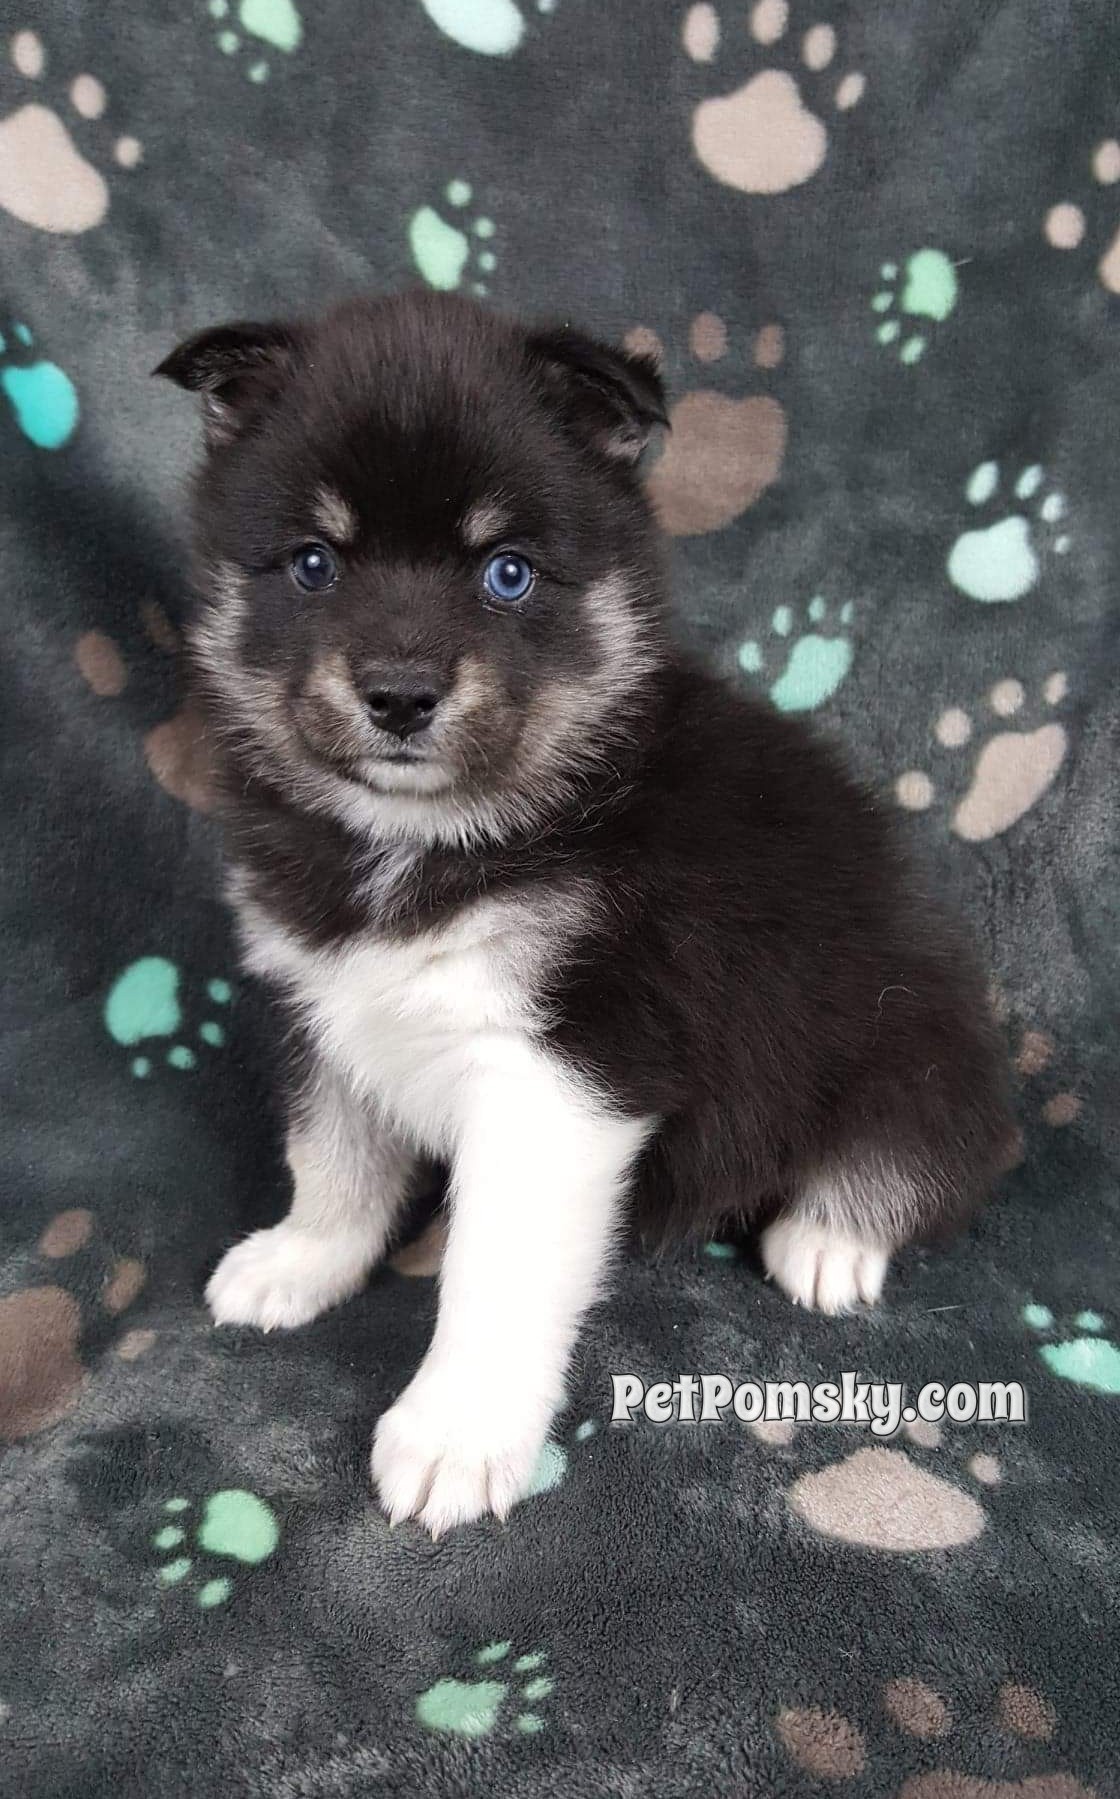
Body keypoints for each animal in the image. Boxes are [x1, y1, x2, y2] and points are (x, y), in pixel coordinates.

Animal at [157, 290, 1014, 1533]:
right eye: (313, 563)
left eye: (507, 572)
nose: (400, 694)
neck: (429, 841)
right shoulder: (326, 1003)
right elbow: (331, 1152)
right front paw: (300, 1259)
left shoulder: (566, 1066)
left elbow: (495, 1268)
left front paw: (454, 1434)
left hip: (910, 1022)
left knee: (926, 1148)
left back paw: (830, 1236)